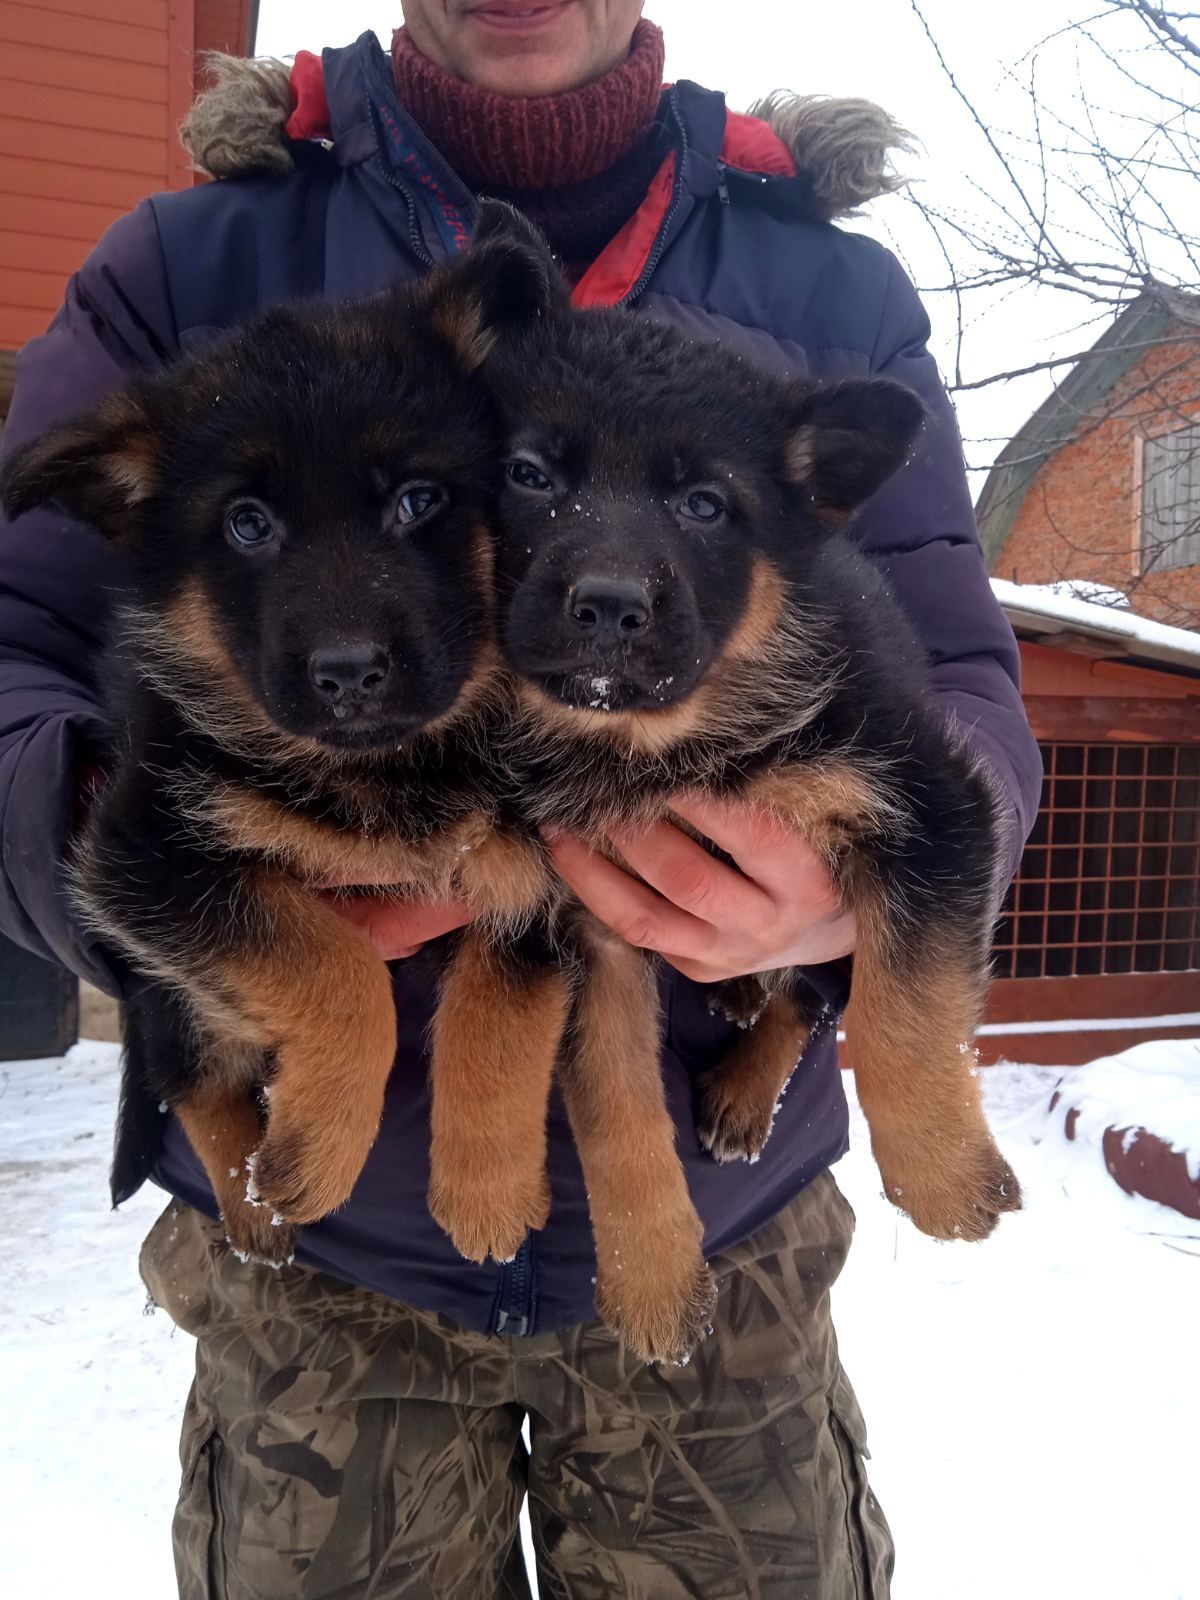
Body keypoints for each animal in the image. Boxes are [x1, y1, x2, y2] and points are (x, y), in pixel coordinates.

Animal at [0, 232, 553, 1267]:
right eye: (247, 524)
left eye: (418, 500)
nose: (350, 673)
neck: (383, 771)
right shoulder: (143, 856)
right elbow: (335, 968)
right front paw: (315, 1152)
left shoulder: (536, 876)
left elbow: (501, 1021)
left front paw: (487, 1191)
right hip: (174, 992)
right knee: (191, 1078)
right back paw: (253, 1204)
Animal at [428, 216, 1017, 1363]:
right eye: (529, 472)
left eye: (705, 506)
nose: (607, 608)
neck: (668, 738)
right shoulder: (595, 928)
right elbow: (617, 1115)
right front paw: (654, 1277)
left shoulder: (932, 808)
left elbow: (905, 1009)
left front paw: (943, 1174)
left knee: (817, 990)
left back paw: (751, 1082)